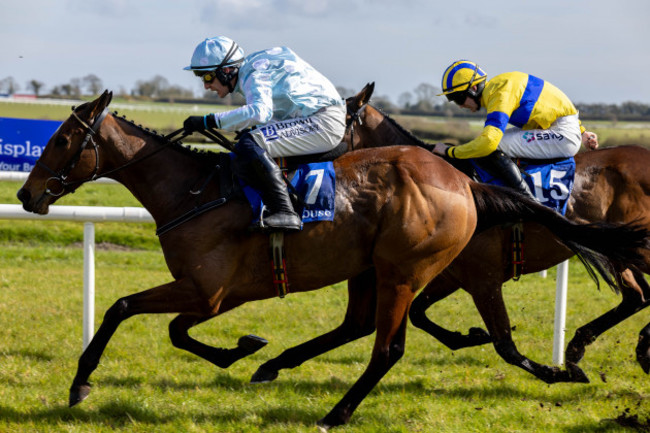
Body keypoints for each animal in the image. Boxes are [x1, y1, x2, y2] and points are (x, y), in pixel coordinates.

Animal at [248, 83, 648, 384]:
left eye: (314, 122)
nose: (270, 160)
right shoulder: (450, 273)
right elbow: (417, 315)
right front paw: (468, 337)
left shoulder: (483, 276)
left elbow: (505, 345)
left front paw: (556, 372)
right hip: (621, 253)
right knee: (637, 297)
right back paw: (594, 346)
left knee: (638, 296)